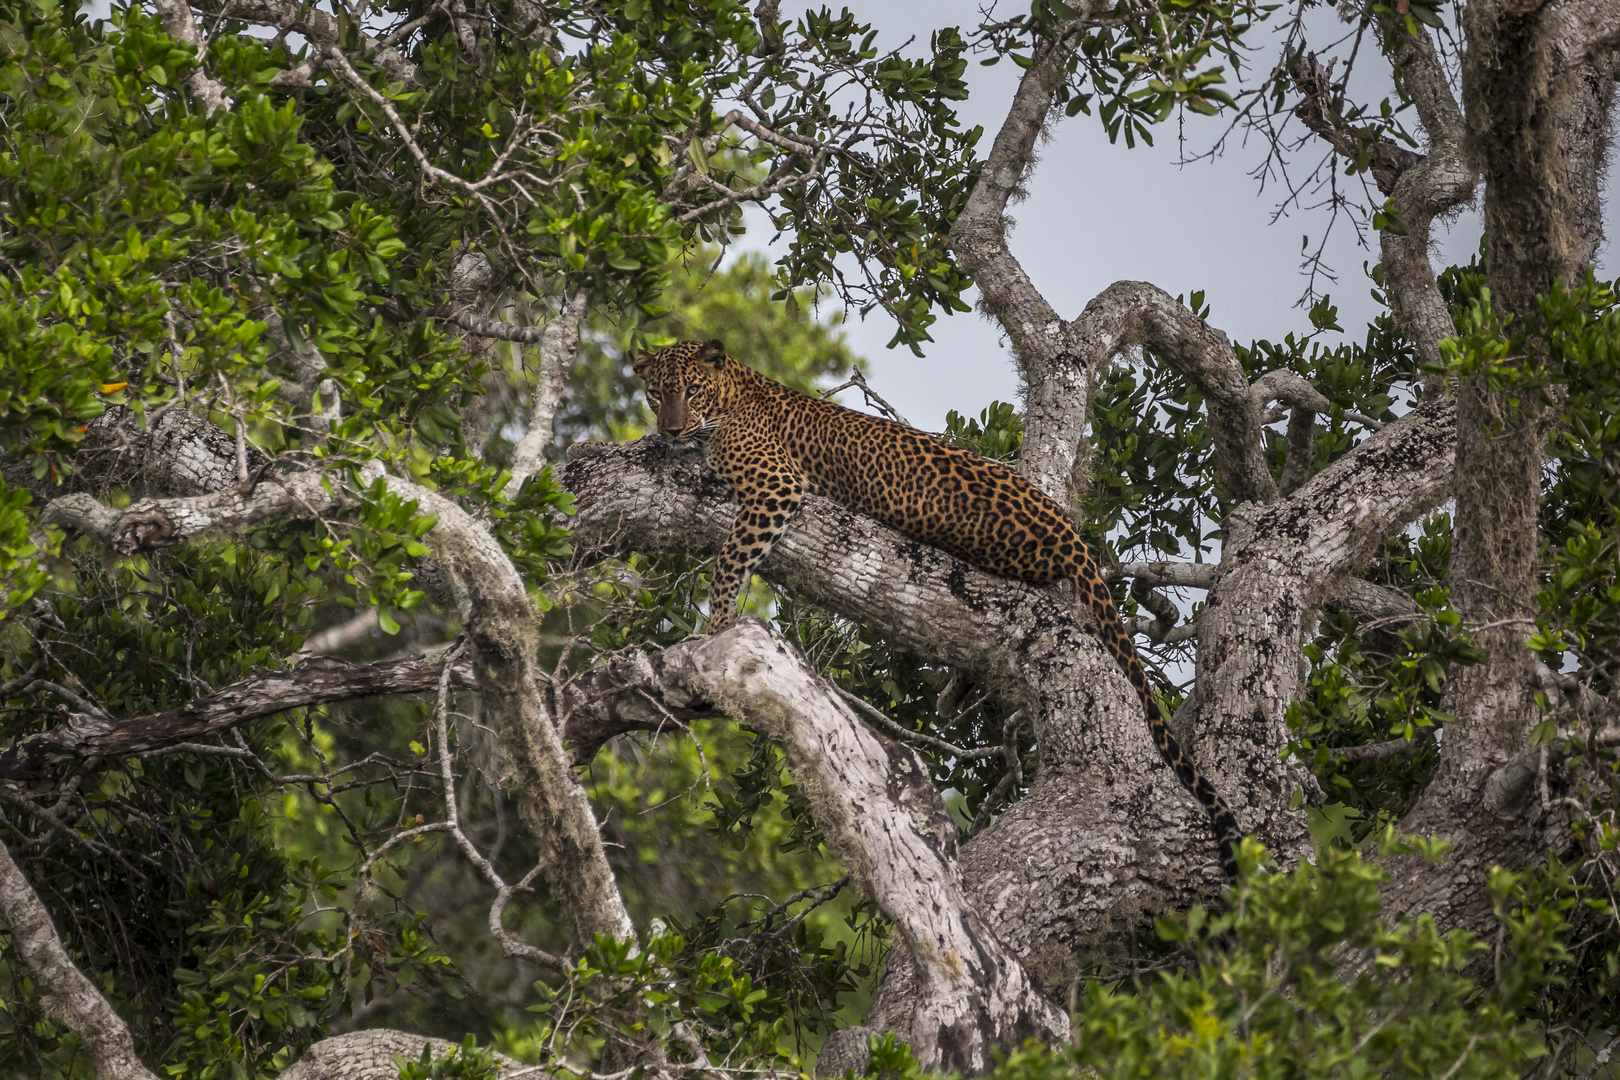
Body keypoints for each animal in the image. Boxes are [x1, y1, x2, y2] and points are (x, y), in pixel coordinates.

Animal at [628, 338, 1237, 880]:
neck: (733, 394)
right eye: (657, 394)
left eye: (690, 390)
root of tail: (1068, 531)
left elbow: (729, 560)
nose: (671, 430)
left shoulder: (775, 485)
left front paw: (715, 624)